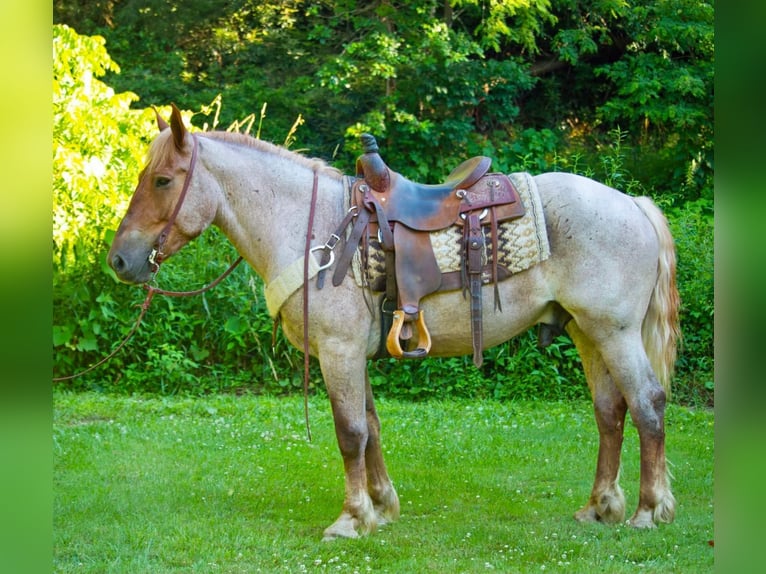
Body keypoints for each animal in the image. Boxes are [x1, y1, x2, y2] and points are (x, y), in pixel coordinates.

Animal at [109, 106, 684, 544]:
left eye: (162, 180)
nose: (119, 260)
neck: (310, 228)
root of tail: (634, 204)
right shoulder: (351, 354)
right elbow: (372, 428)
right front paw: (381, 507)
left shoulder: (338, 351)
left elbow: (350, 432)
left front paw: (350, 518)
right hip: (588, 333)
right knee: (610, 413)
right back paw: (601, 507)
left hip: (614, 333)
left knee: (647, 405)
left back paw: (649, 510)